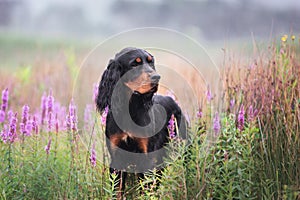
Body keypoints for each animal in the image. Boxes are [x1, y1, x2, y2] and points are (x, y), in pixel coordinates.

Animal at [95, 47, 185, 197]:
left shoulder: (146, 158)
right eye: (134, 64)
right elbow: (117, 191)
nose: (157, 77)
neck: (130, 110)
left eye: (150, 62)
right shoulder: (117, 158)